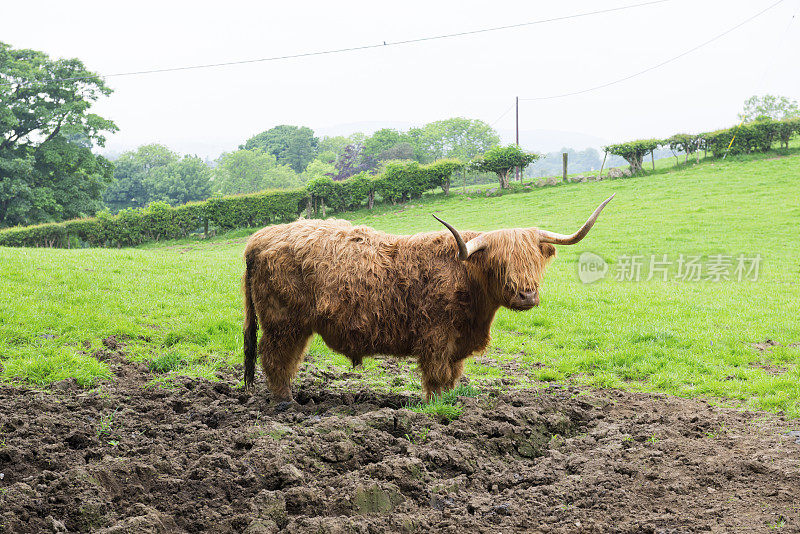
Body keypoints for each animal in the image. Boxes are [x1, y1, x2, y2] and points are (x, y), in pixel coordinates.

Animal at [241, 195, 616, 400]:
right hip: (283, 323)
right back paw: (286, 402)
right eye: (499, 263)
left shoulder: (458, 342)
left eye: (535, 260)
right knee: (276, 359)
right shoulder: (435, 335)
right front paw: (436, 404)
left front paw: (452, 399)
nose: (526, 295)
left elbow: (452, 375)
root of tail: (260, 238)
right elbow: (436, 375)